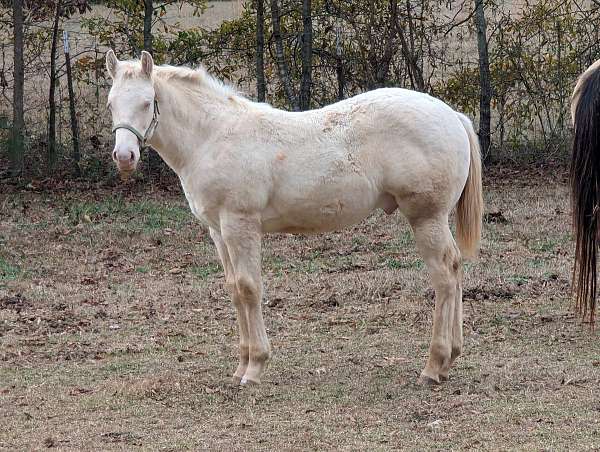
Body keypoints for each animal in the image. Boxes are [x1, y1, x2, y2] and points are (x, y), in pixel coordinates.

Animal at [105, 51, 486, 386]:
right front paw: (240, 366)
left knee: (443, 277)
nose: (124, 157)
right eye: (111, 104)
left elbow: (249, 287)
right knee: (454, 268)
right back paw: (451, 357)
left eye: (146, 102)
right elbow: (234, 289)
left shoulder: (240, 224)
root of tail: (453, 116)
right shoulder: (218, 231)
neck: (213, 136)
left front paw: (255, 368)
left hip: (426, 218)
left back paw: (433, 365)